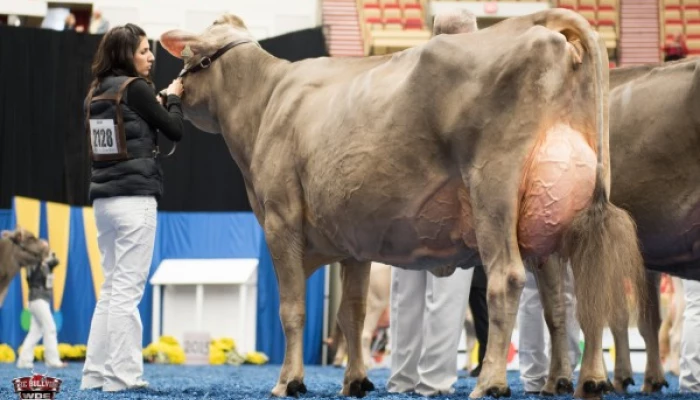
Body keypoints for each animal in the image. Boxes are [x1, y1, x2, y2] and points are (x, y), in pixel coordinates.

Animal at [159, 10, 645, 398]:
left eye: (187, 57)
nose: (165, 96)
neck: (265, 104)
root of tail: (537, 26)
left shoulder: (280, 220)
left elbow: (292, 309)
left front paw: (289, 381)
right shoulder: (351, 241)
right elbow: (351, 314)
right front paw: (355, 380)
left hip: (494, 189)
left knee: (506, 279)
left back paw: (492, 382)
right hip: (560, 213)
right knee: (573, 296)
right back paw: (578, 380)